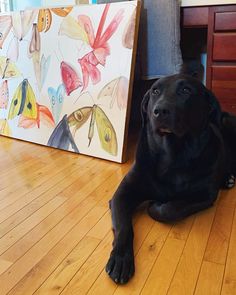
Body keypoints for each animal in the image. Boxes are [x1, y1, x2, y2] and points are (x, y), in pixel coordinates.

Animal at [105, 74, 236, 284]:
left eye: (186, 90)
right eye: (155, 91)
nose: (160, 111)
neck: (173, 154)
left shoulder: (206, 196)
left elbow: (170, 209)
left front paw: (155, 205)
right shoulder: (122, 193)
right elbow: (124, 226)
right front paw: (120, 258)